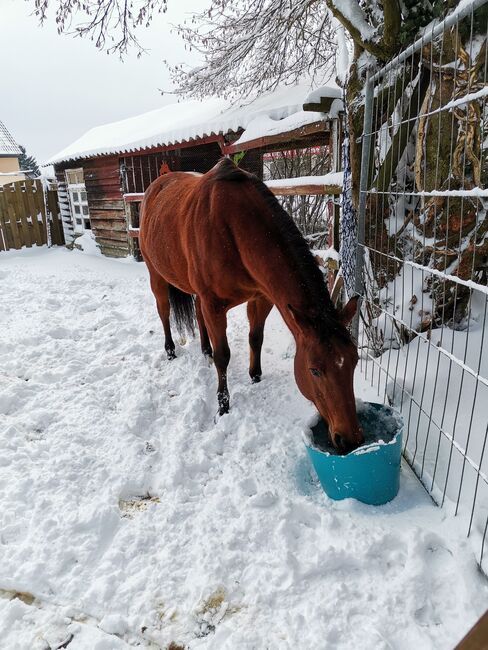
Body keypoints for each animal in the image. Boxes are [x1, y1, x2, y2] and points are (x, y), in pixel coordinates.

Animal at [139, 157, 364, 450]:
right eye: (314, 370)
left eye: (354, 361)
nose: (351, 439)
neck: (233, 229)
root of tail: (159, 182)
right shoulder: (214, 305)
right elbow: (224, 355)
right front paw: (223, 406)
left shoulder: (261, 298)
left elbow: (255, 338)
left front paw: (255, 376)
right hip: (156, 275)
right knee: (164, 311)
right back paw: (170, 350)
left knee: (198, 316)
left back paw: (205, 350)